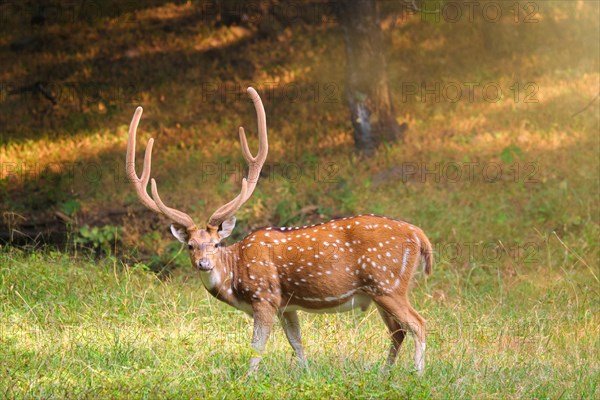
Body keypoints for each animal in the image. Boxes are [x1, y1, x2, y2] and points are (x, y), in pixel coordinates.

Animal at [125, 87, 432, 376]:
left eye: (215, 243)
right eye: (190, 245)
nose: (203, 263)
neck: (235, 275)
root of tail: (419, 235)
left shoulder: (265, 296)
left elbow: (257, 346)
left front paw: (247, 379)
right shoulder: (288, 305)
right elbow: (297, 343)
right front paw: (306, 374)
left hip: (387, 283)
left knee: (418, 323)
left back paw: (417, 374)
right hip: (380, 291)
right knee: (398, 330)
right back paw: (384, 373)